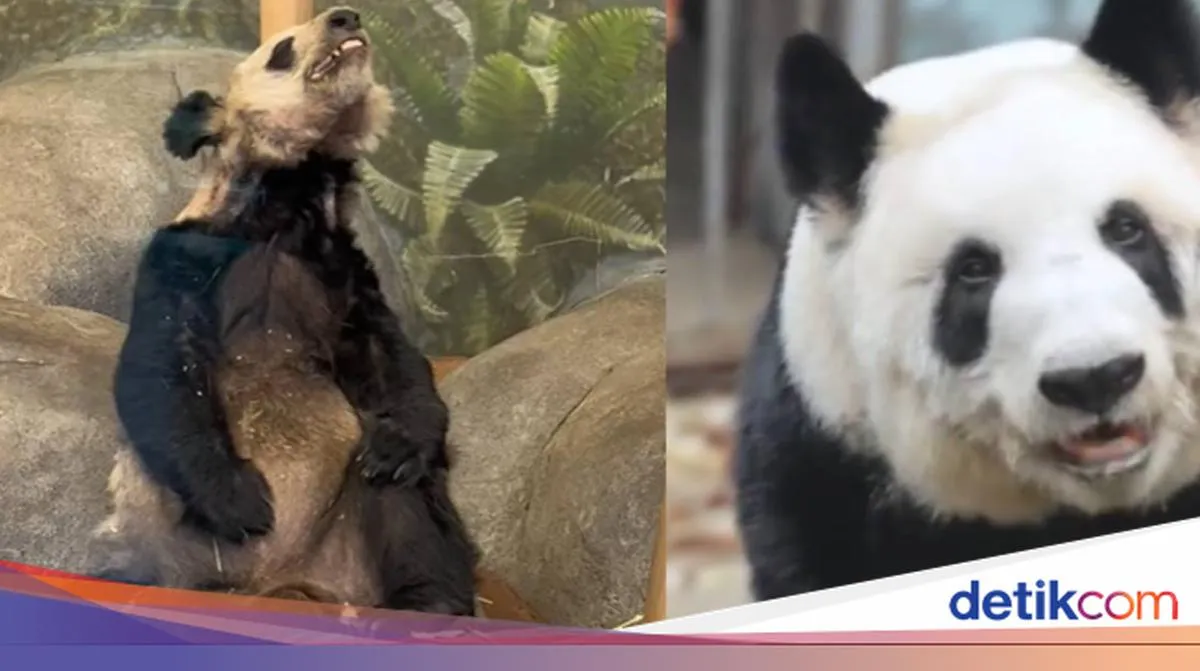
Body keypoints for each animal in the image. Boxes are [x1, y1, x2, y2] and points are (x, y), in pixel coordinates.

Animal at [90, 6, 478, 615]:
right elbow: (160, 368)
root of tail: (280, 581)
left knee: (411, 509)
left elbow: (392, 357)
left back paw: (429, 603)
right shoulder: (184, 254)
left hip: (353, 518)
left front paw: (401, 441)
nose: (346, 16)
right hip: (157, 537)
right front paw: (241, 501)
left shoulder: (343, 270)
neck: (287, 203)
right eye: (281, 50)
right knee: (131, 570)